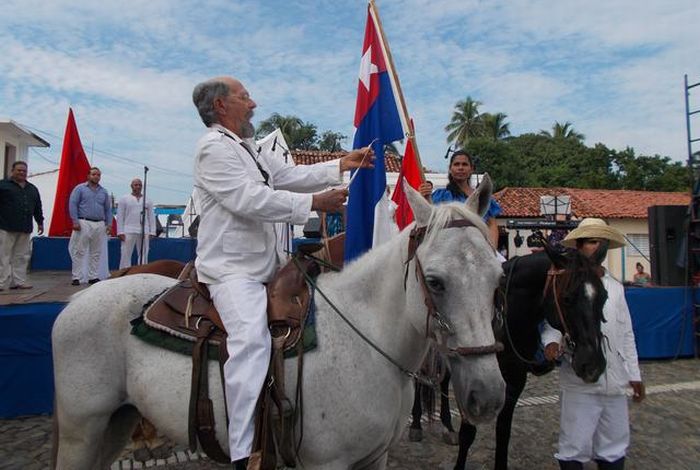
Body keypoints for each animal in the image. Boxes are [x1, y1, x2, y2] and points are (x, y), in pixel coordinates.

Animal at [52, 182, 506, 468]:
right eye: (436, 281)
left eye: (498, 278)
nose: (488, 396)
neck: (366, 340)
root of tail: (74, 303)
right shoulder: (326, 463)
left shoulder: (374, 458)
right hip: (82, 430)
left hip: (116, 421)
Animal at [410, 244, 608, 468]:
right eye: (567, 298)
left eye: (604, 296)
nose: (593, 365)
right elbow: (468, 433)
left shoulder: (514, 382)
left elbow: (503, 433)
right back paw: (416, 424)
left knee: (443, 382)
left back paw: (447, 426)